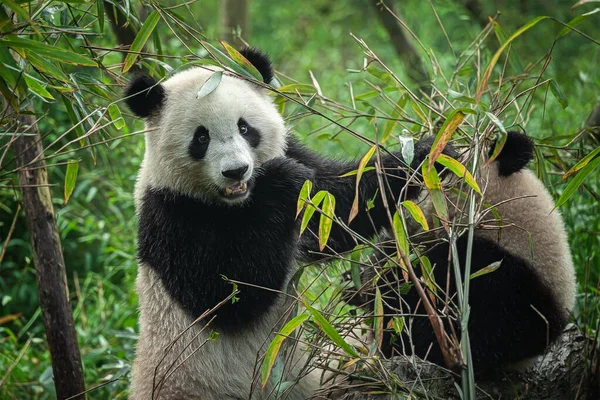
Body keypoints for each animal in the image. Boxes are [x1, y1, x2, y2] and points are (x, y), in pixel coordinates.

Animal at [123, 48, 446, 398]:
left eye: (245, 128)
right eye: (201, 137)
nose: (236, 171)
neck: (235, 203)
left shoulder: (298, 166)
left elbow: (338, 207)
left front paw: (428, 153)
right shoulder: (170, 215)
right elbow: (230, 296)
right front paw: (280, 180)